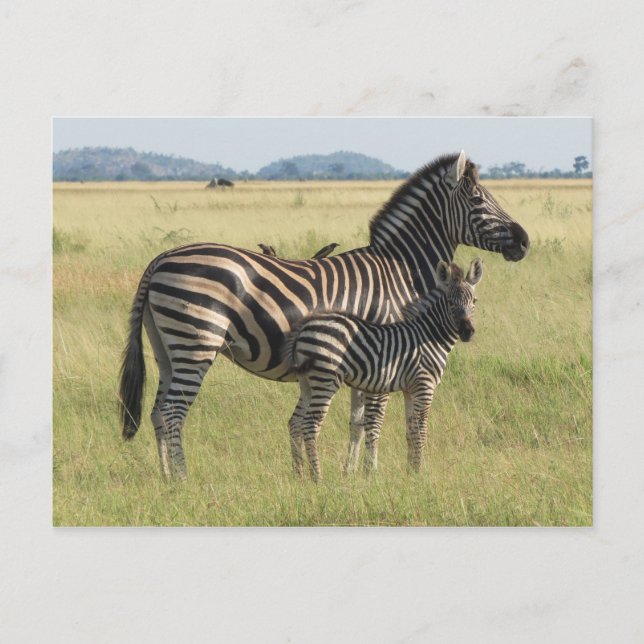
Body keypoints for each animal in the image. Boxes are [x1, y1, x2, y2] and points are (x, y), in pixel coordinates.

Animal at [284, 258, 483, 481]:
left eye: (474, 301)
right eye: (450, 302)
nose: (467, 332)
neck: (429, 335)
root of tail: (304, 328)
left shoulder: (409, 388)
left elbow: (411, 430)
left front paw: (411, 471)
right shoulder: (424, 385)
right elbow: (421, 430)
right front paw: (420, 472)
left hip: (307, 383)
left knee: (296, 422)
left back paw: (299, 474)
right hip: (326, 379)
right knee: (310, 425)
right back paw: (318, 477)